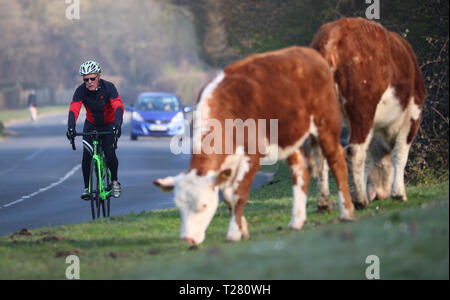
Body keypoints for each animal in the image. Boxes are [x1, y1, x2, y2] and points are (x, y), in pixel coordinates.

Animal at [155, 45, 356, 245]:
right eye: (179, 207)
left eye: (203, 205)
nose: (188, 239)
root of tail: (307, 52)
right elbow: (227, 196)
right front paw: (242, 229)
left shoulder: (252, 154)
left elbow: (238, 193)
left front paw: (234, 233)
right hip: (291, 137)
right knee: (301, 171)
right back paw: (296, 221)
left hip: (327, 122)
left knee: (337, 160)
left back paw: (347, 212)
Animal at [310, 17, 426, 210]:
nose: (378, 195)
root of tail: (334, 33)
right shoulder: (413, 115)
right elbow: (400, 154)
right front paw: (398, 194)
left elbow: (368, 159)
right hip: (362, 108)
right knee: (355, 151)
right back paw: (360, 201)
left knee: (322, 154)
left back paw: (325, 203)